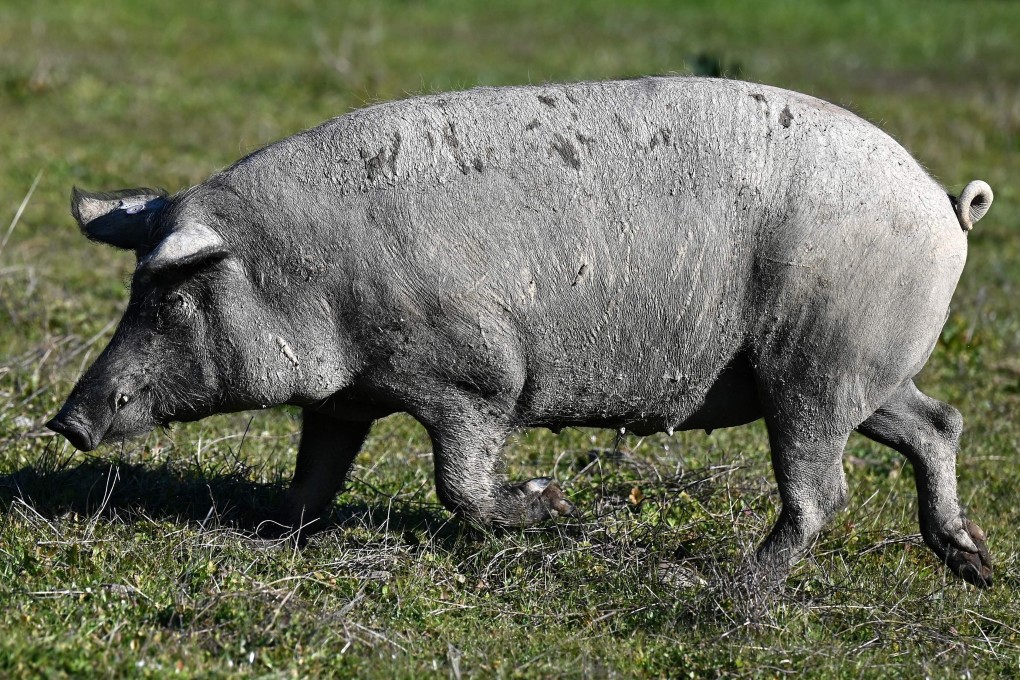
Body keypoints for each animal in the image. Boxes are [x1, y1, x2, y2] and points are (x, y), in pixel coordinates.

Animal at [48, 77, 994, 587]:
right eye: (136, 289)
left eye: (171, 298)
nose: (65, 420)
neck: (311, 273)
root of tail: (947, 203)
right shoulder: (345, 398)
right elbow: (314, 474)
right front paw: (277, 538)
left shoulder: (476, 375)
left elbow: (459, 485)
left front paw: (552, 506)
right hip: (864, 373)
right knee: (937, 423)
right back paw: (973, 563)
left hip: (817, 366)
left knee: (821, 492)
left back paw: (731, 588)